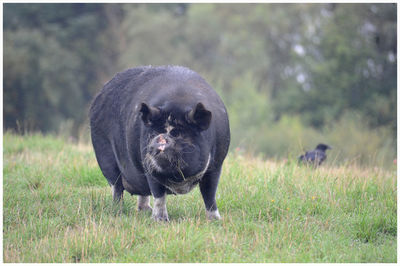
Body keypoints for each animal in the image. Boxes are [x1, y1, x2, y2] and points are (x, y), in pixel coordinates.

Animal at [89, 65, 230, 220]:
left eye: (178, 133)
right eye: (155, 132)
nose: (160, 138)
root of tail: (98, 96)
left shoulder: (216, 165)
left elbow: (209, 193)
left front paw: (215, 220)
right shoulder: (149, 168)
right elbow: (159, 195)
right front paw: (160, 220)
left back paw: (145, 211)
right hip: (104, 155)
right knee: (117, 187)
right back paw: (118, 211)